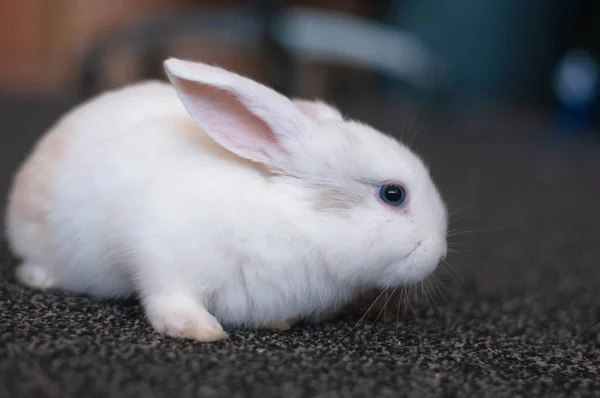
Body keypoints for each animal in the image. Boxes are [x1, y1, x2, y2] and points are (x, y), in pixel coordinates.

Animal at [3, 59, 446, 342]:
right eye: (393, 194)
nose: (439, 252)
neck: (294, 218)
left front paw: (277, 323)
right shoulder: (159, 251)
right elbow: (167, 296)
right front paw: (198, 330)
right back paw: (39, 277)